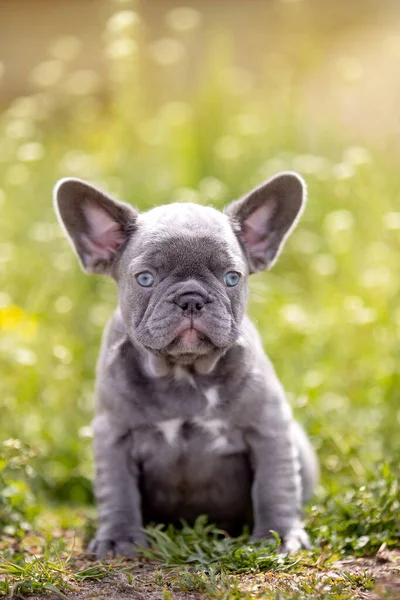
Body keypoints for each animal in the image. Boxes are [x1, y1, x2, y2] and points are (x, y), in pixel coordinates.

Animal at [53, 172, 318, 556]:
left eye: (232, 277)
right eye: (145, 278)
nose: (191, 298)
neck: (184, 372)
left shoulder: (268, 429)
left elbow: (275, 484)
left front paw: (278, 535)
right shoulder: (114, 436)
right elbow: (117, 491)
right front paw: (118, 538)